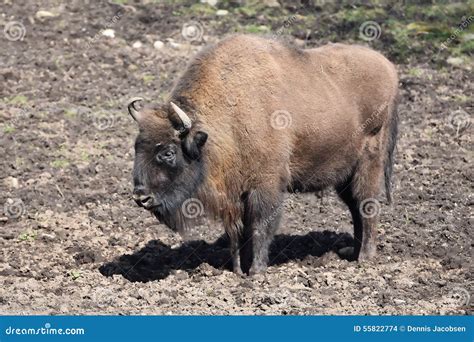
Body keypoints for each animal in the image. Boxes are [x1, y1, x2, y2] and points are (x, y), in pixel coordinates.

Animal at [128, 34, 398, 276]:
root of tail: (389, 68)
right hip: (345, 174)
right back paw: (351, 252)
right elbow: (237, 233)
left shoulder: (265, 186)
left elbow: (259, 226)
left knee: (366, 204)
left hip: (369, 163)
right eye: (137, 146)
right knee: (355, 207)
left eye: (168, 152)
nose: (141, 197)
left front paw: (256, 272)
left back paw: (364, 257)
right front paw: (238, 269)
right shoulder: (235, 194)